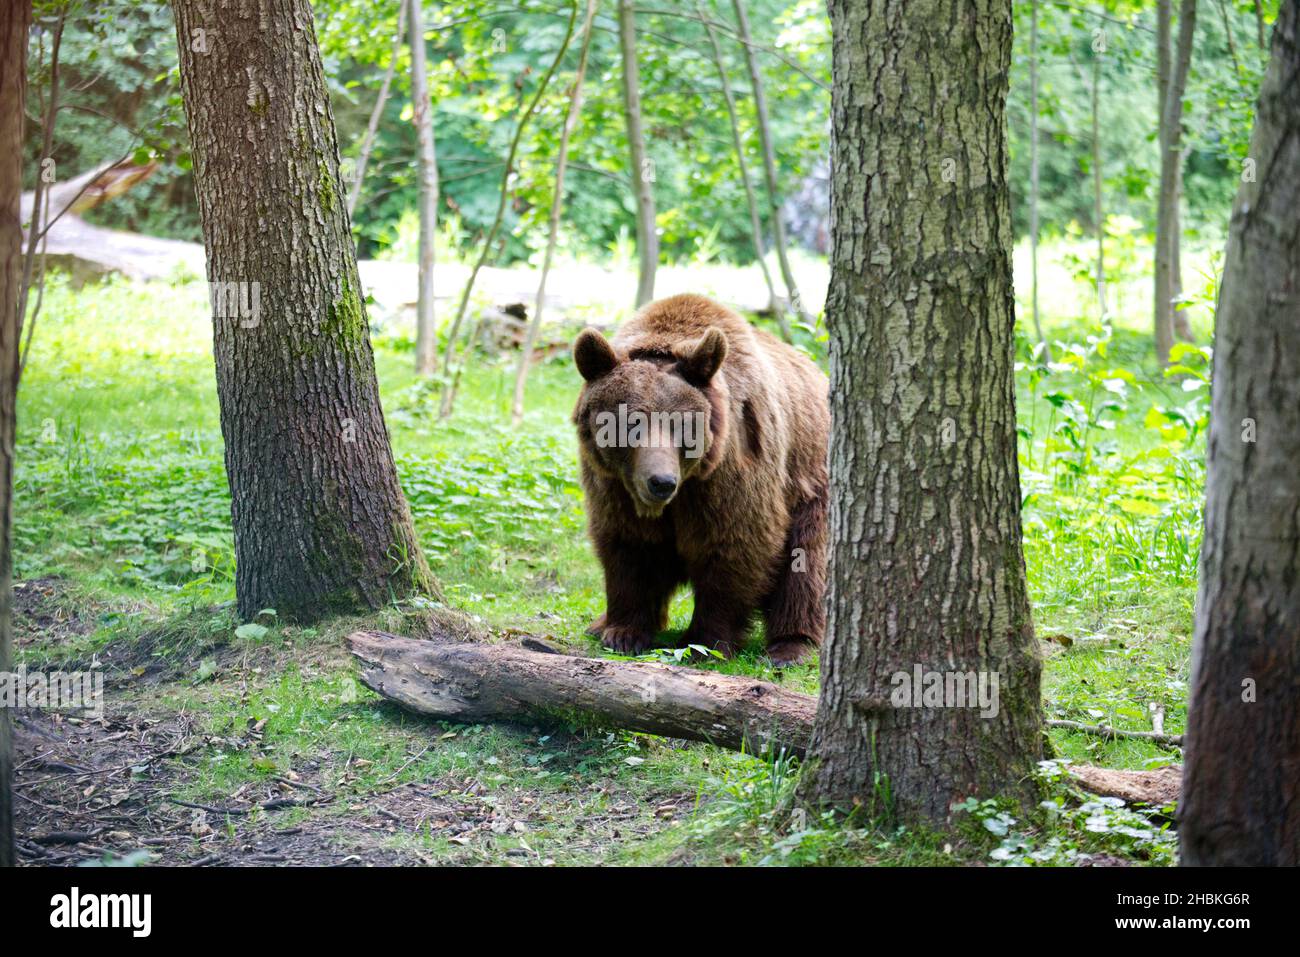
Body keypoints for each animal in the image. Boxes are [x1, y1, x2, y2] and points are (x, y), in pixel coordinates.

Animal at [571, 293, 829, 666]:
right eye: (632, 423)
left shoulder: (730, 472)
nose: (661, 482)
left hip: (811, 481)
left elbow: (733, 545)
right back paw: (598, 623)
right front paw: (623, 632)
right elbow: (628, 545)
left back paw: (791, 645)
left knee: (806, 562)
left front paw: (703, 642)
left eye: (681, 424)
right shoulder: (614, 485)